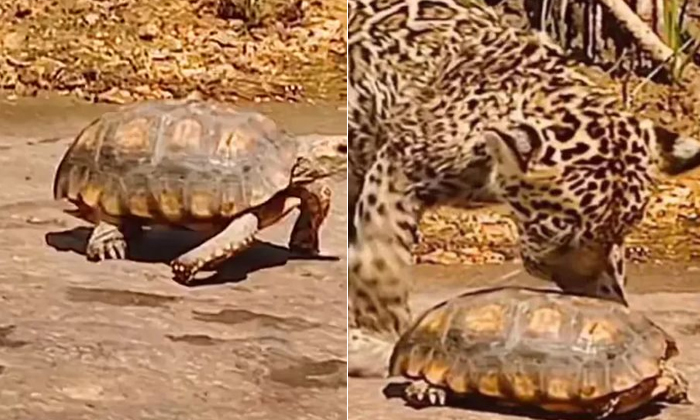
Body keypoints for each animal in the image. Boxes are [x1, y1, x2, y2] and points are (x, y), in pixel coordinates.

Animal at [347, 0, 700, 378]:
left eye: (619, 235)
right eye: (559, 232)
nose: (579, 288)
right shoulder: (397, 172)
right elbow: (382, 260)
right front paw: (381, 334)